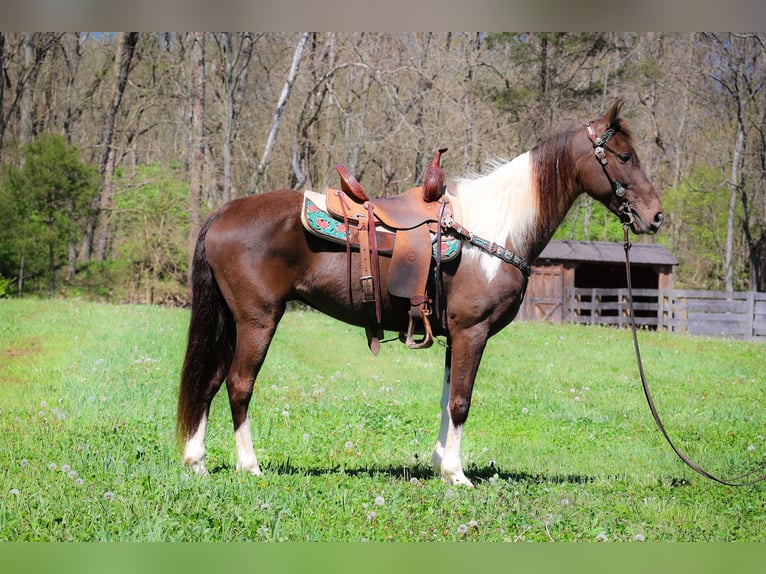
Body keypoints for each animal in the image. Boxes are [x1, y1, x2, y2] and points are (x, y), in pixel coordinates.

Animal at [176, 99, 664, 486]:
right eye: (623, 155)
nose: (656, 216)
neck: (492, 231)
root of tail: (223, 213)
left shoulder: (456, 336)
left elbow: (447, 400)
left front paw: (440, 465)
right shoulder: (472, 331)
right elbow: (462, 402)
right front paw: (458, 476)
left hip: (233, 321)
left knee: (211, 380)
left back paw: (196, 462)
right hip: (258, 319)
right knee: (239, 384)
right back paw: (249, 466)